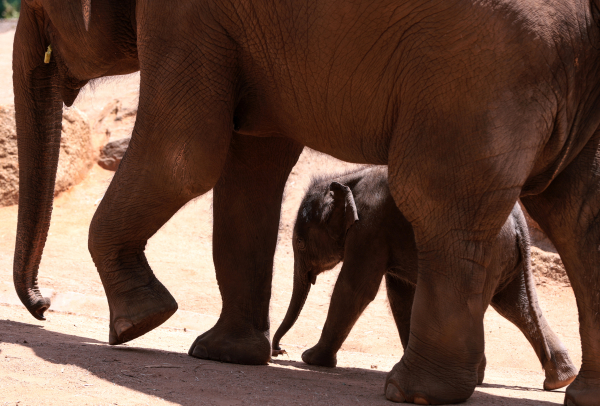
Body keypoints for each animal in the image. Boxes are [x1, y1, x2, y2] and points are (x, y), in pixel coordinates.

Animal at [274, 167, 580, 392]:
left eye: (299, 243)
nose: (279, 350)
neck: (348, 178)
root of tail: (520, 223)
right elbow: (399, 294)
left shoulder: (369, 227)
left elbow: (356, 289)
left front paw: (311, 360)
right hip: (505, 258)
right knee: (515, 305)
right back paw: (560, 380)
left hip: (487, 251)